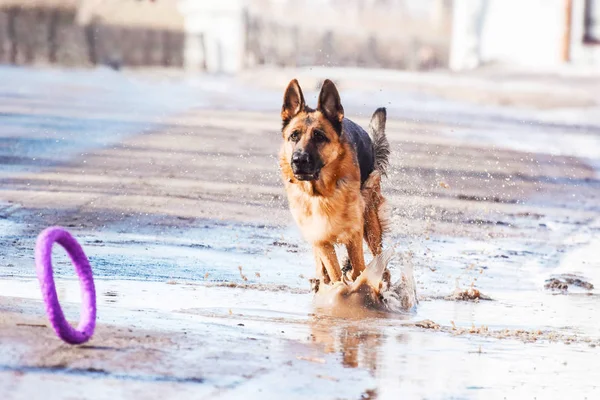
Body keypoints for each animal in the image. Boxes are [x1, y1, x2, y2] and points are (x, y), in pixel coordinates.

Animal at [278, 79, 392, 290]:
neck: (321, 192)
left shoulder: (354, 231)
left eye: (319, 136)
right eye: (294, 135)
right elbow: (333, 270)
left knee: (378, 257)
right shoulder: (320, 236)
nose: (299, 160)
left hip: (370, 222)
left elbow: (357, 269)